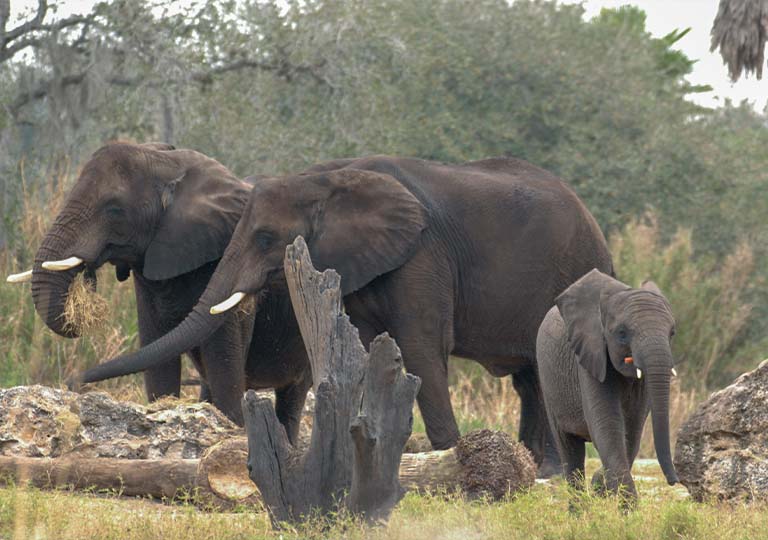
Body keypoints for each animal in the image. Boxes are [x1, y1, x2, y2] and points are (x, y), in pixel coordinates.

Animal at [75, 155, 614, 468]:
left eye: (266, 238)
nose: (76, 380)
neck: (325, 178)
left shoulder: (422, 255)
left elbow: (420, 349)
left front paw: (443, 463)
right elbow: (370, 349)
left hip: (574, 269)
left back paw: (547, 472)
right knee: (529, 377)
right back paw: (538, 467)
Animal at [536, 269, 679, 505]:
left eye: (672, 333)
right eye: (622, 333)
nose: (674, 481)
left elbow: (631, 434)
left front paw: (600, 486)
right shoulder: (588, 358)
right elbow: (608, 427)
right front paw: (628, 510)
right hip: (547, 380)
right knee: (570, 451)